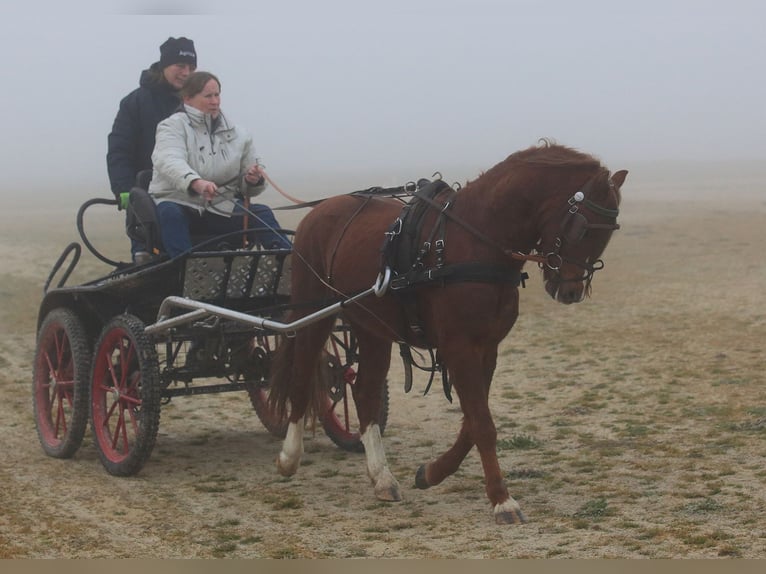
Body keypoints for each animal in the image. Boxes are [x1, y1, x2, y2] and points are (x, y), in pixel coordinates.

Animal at [267, 140, 626, 524]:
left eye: (609, 229)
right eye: (582, 228)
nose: (571, 291)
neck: (475, 239)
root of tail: (319, 211)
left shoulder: (487, 348)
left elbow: (472, 422)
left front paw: (432, 472)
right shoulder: (459, 346)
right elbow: (482, 423)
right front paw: (502, 499)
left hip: (371, 328)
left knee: (365, 392)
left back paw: (382, 478)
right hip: (312, 314)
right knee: (302, 376)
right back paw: (288, 458)